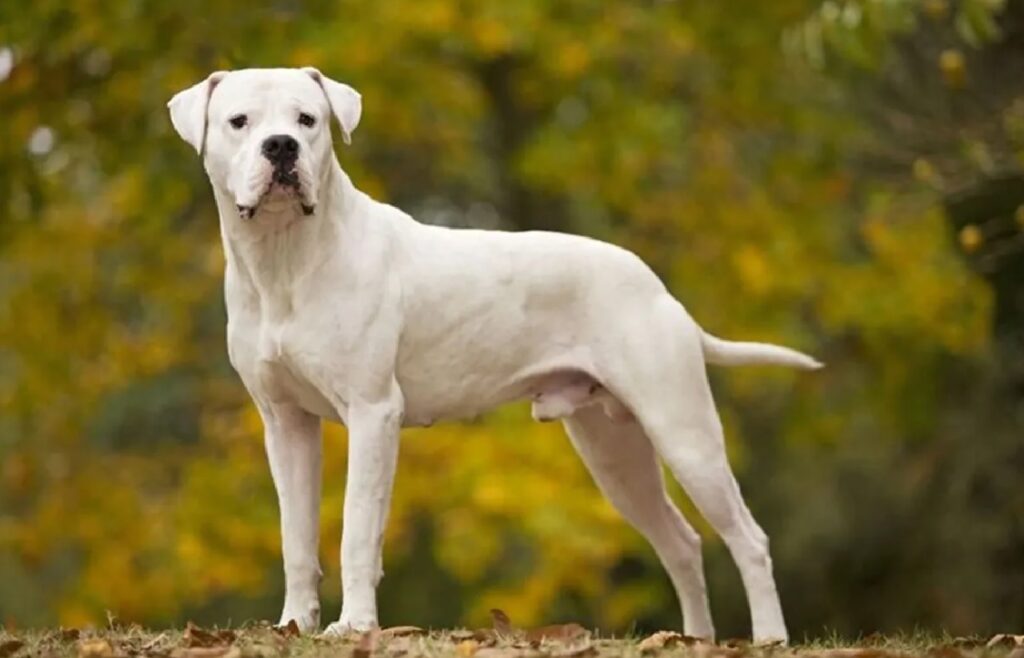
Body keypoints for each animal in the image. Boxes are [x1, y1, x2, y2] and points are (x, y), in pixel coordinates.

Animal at [169, 67, 823, 642]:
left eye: (308, 120)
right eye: (239, 122)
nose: (280, 146)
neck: (285, 258)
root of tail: (659, 288)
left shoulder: (373, 413)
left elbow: (357, 530)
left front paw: (353, 627)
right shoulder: (286, 424)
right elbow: (296, 537)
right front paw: (295, 626)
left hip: (683, 431)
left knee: (749, 539)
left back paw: (769, 637)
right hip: (615, 453)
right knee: (681, 542)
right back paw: (694, 638)